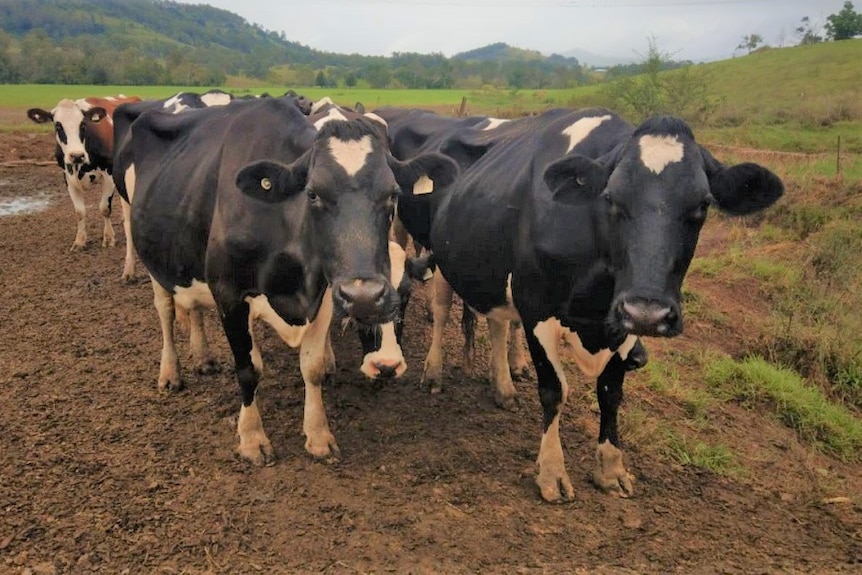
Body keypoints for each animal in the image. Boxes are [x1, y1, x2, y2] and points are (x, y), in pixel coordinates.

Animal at [26, 95, 140, 280]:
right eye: (57, 125)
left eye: (83, 125)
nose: (76, 155)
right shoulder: (67, 176)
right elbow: (79, 212)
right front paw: (80, 241)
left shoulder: (109, 174)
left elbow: (104, 208)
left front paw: (109, 238)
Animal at [123, 95, 460, 464]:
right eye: (312, 193)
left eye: (393, 194)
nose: (364, 296)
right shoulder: (229, 293)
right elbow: (248, 368)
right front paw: (252, 438)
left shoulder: (324, 293)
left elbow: (311, 366)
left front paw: (318, 435)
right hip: (153, 257)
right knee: (166, 311)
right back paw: (170, 373)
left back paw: (203, 357)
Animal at [422, 107, 788, 500]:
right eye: (611, 198)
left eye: (703, 205)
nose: (650, 311)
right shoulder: (536, 306)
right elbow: (554, 390)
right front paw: (551, 473)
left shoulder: (622, 319)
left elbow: (611, 392)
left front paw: (611, 469)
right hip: (440, 258)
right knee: (441, 312)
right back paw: (433, 374)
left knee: (498, 322)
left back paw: (503, 388)